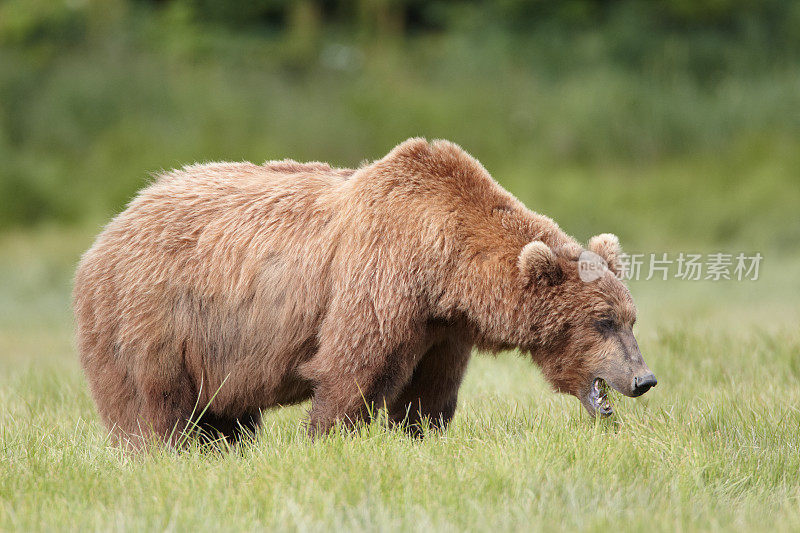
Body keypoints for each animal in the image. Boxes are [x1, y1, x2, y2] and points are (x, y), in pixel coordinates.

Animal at [72, 139, 652, 446]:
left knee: (225, 414)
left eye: (629, 318)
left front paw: (420, 434)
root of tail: (111, 226)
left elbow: (429, 393)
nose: (643, 379)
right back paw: (160, 450)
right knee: (153, 405)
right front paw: (330, 439)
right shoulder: (380, 279)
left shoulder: (440, 329)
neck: (444, 269)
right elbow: (350, 369)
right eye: (601, 321)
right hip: (155, 317)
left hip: (218, 347)